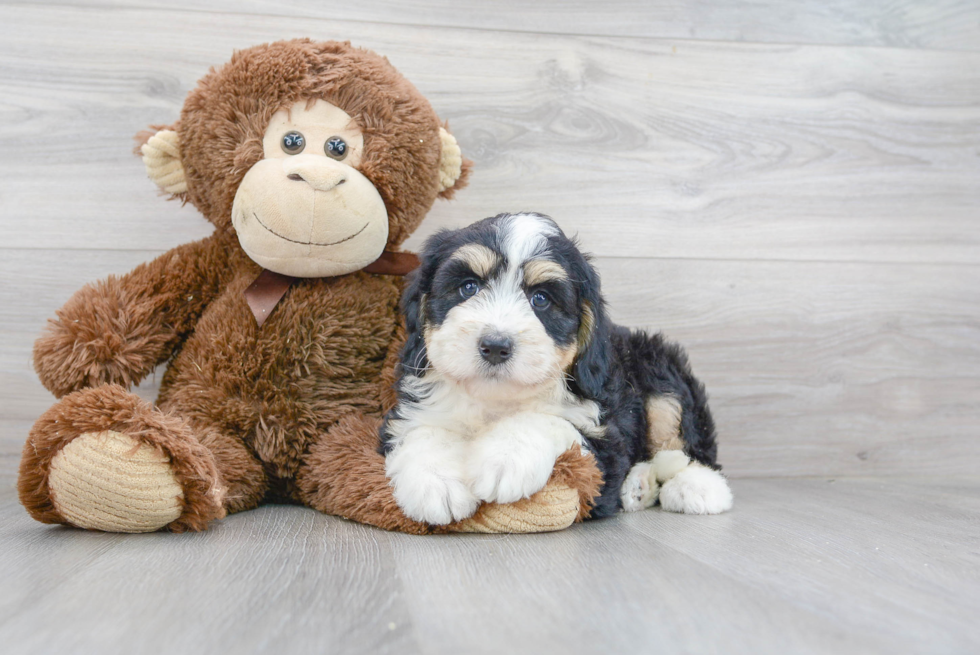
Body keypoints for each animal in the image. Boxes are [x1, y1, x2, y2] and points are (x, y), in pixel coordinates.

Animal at [382, 215, 736, 528]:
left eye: (541, 299)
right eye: (468, 287)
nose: (495, 346)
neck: (495, 401)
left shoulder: (604, 450)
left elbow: (547, 421)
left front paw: (504, 456)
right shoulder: (408, 412)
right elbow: (421, 430)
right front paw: (436, 482)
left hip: (660, 372)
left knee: (688, 444)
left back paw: (697, 487)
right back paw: (639, 487)